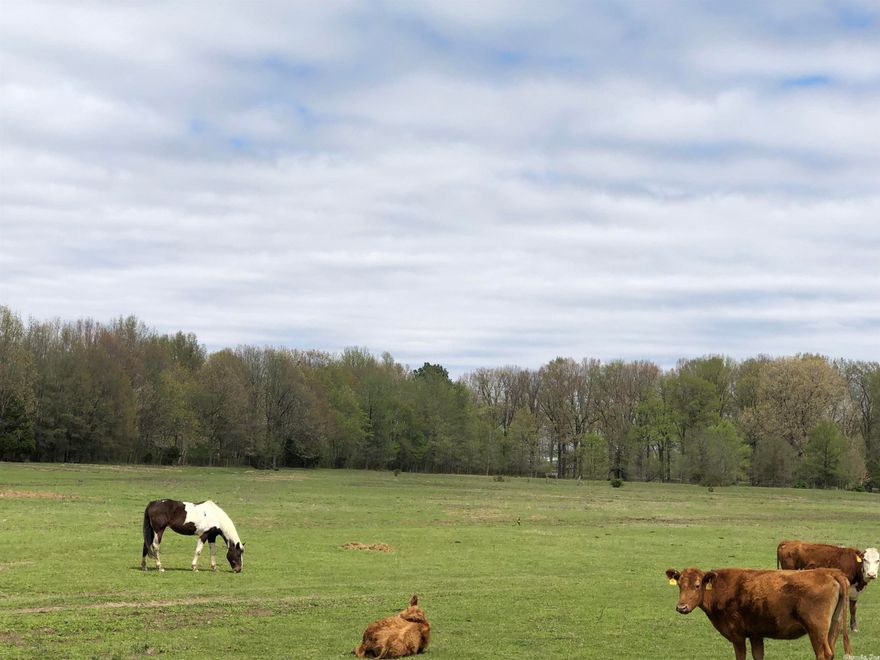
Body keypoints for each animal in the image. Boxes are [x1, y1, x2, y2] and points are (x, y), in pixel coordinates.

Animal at [665, 567, 852, 660]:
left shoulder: (737, 635)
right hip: (832, 629)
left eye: (697, 585)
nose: (681, 607)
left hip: (817, 630)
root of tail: (829, 572)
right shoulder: (756, 635)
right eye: (679, 585)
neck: (721, 588)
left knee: (823, 654)